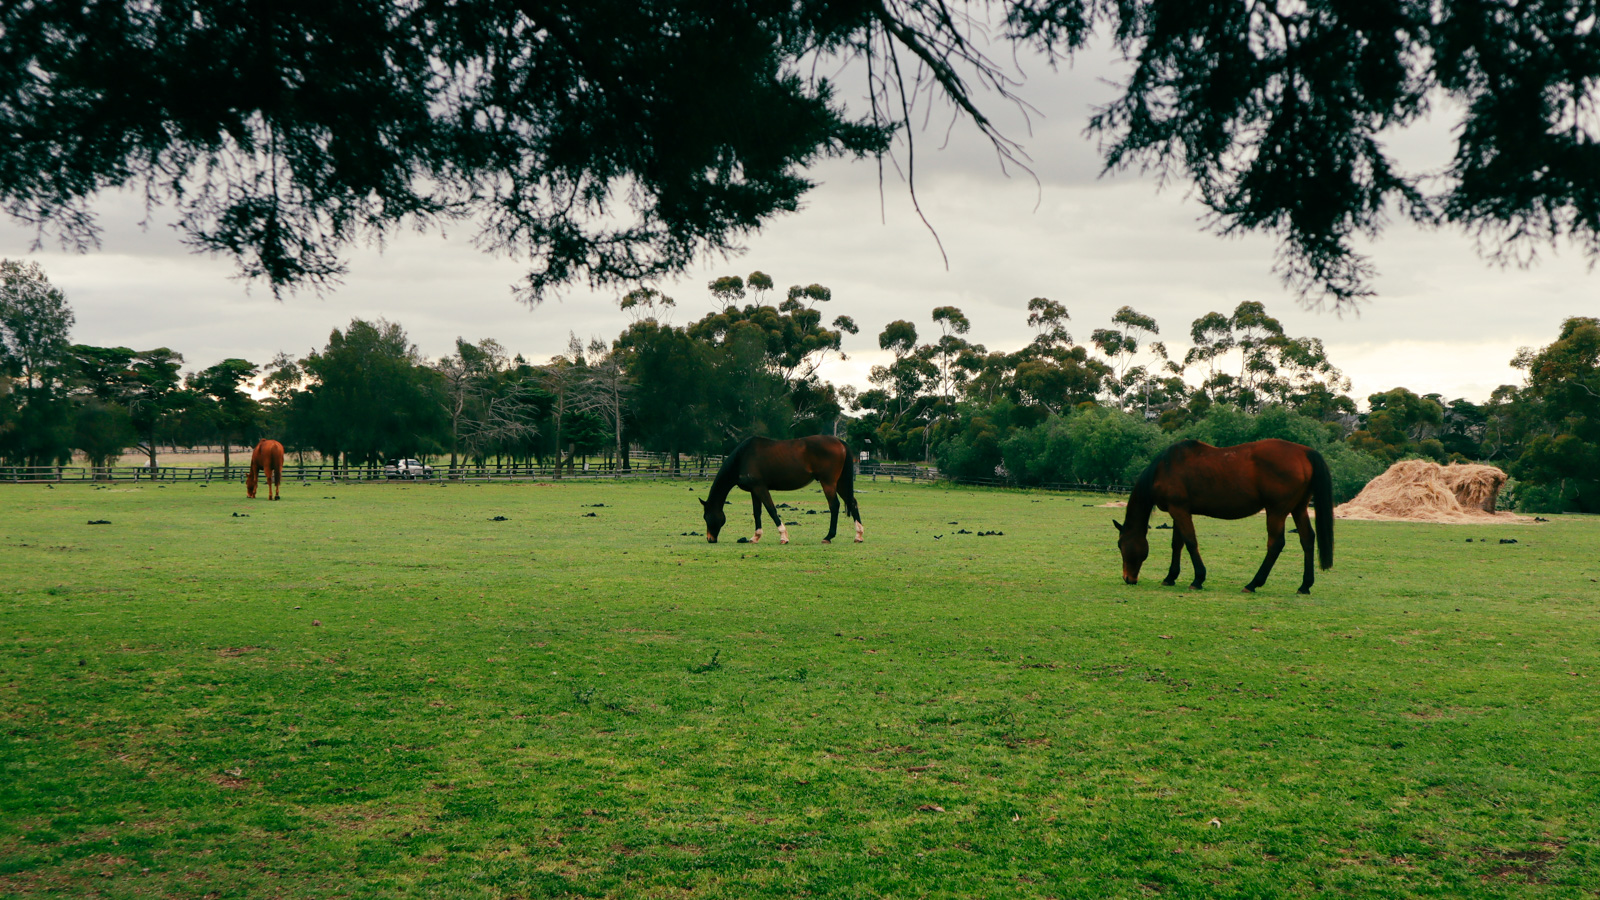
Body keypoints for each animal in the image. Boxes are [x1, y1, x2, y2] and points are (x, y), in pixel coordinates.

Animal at [700, 432, 864, 544]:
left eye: (706, 516)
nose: (710, 539)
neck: (743, 457)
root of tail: (839, 441)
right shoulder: (754, 490)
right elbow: (757, 512)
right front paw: (755, 537)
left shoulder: (761, 488)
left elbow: (771, 510)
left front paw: (783, 536)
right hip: (840, 483)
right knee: (852, 502)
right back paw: (858, 535)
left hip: (828, 483)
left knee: (834, 505)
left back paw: (829, 536)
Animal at [1113, 438, 1337, 592]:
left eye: (1120, 545)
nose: (1127, 578)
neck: (1165, 468)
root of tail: (1304, 452)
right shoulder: (1179, 511)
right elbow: (1178, 544)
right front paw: (1170, 577)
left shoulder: (1179, 511)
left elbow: (1190, 542)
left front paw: (1198, 579)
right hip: (1298, 508)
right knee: (1307, 540)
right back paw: (1305, 585)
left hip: (1277, 511)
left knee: (1276, 544)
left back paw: (1253, 583)